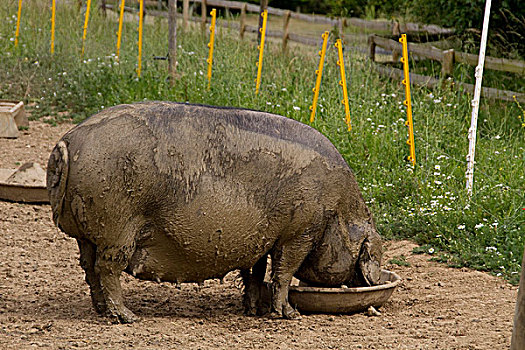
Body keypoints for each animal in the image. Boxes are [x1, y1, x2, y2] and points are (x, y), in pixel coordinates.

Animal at [47, 101, 382, 322]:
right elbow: (284, 272)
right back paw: (128, 317)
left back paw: (102, 311)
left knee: (89, 267)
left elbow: (255, 273)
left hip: (88, 232)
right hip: (117, 227)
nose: (371, 280)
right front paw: (288, 315)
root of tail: (67, 142)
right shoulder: (300, 232)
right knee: (107, 268)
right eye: (366, 249)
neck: (337, 210)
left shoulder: (260, 239)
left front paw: (253, 311)